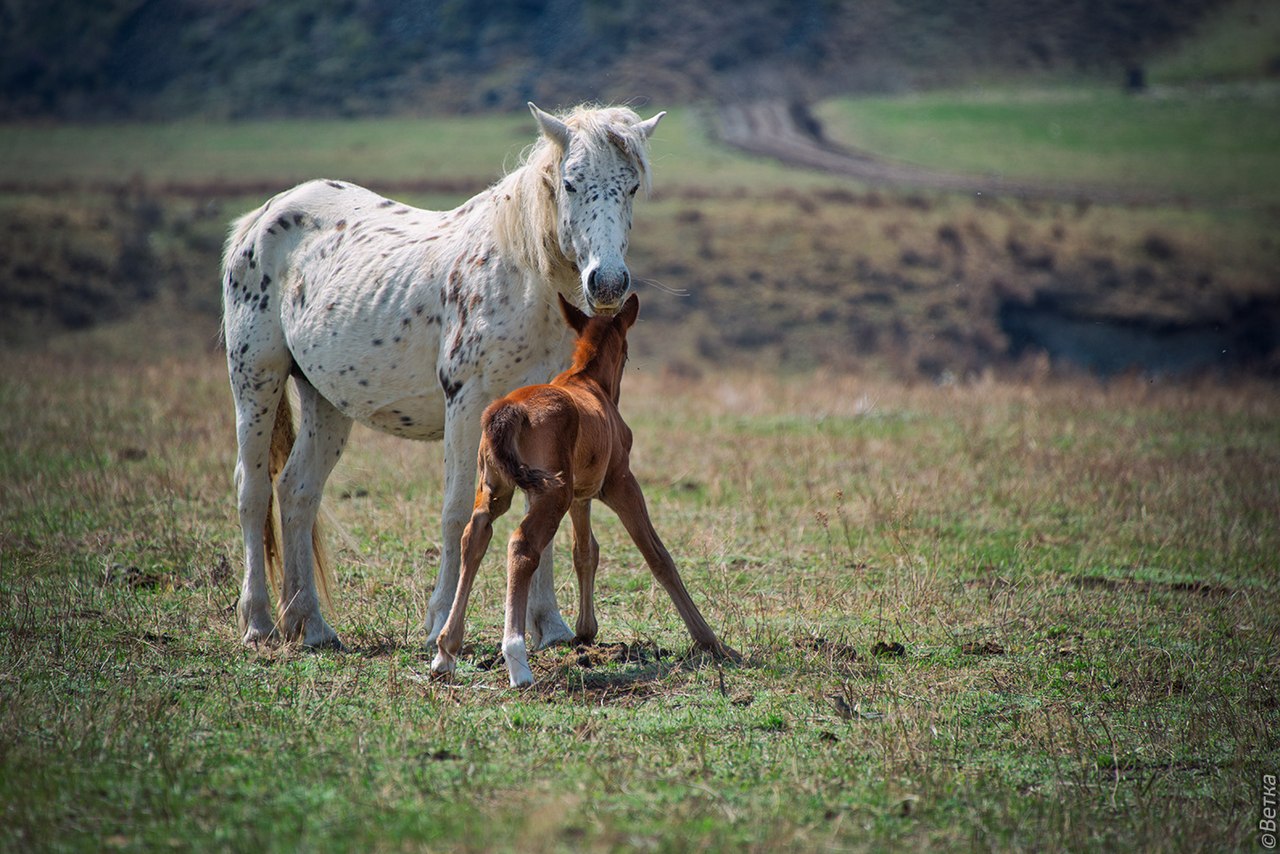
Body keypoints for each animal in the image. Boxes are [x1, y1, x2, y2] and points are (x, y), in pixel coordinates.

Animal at [221, 103, 665, 647]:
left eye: (633, 186)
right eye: (570, 182)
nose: (607, 283)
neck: (521, 281)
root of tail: (260, 219)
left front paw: (551, 627)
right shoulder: (466, 406)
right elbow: (456, 513)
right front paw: (438, 624)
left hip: (326, 401)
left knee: (297, 492)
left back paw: (310, 625)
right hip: (255, 379)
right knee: (254, 490)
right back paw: (258, 621)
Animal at [430, 294, 737, 686]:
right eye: (628, 352)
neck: (587, 383)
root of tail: (509, 410)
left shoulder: (581, 494)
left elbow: (585, 550)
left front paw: (586, 630)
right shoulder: (621, 482)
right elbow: (657, 555)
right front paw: (711, 641)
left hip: (497, 488)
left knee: (475, 534)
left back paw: (446, 651)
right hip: (551, 494)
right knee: (522, 545)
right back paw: (516, 658)